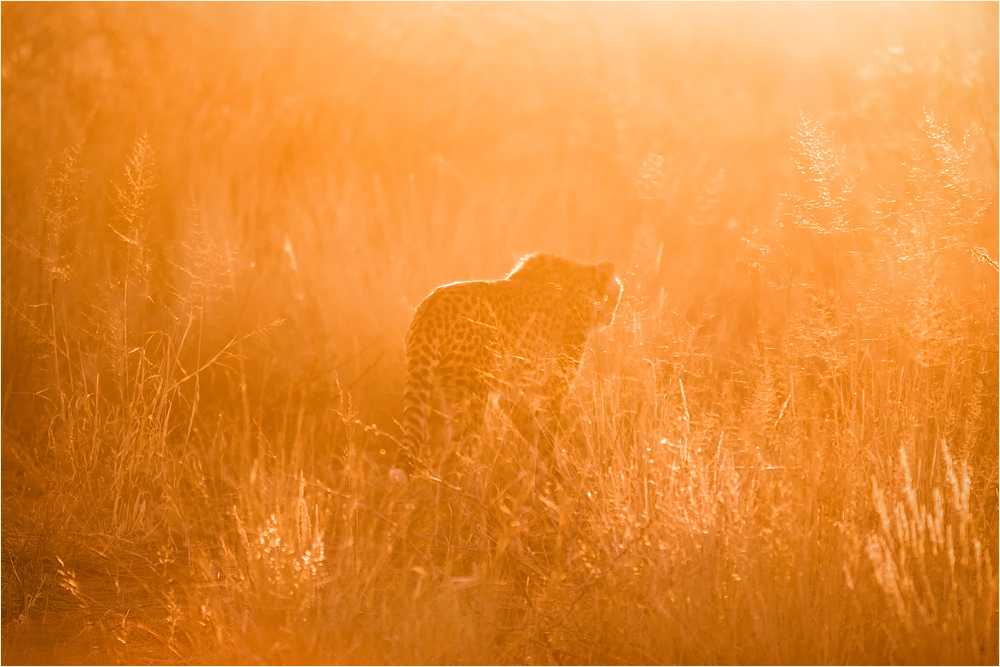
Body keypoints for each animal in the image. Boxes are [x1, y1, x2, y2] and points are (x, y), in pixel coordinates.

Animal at [388, 252, 616, 486]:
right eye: (614, 295)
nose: (611, 318)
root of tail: (432, 304)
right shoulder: (554, 386)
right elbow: (549, 429)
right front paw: (560, 479)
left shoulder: (511, 393)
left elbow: (532, 429)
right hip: (472, 401)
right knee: (453, 459)